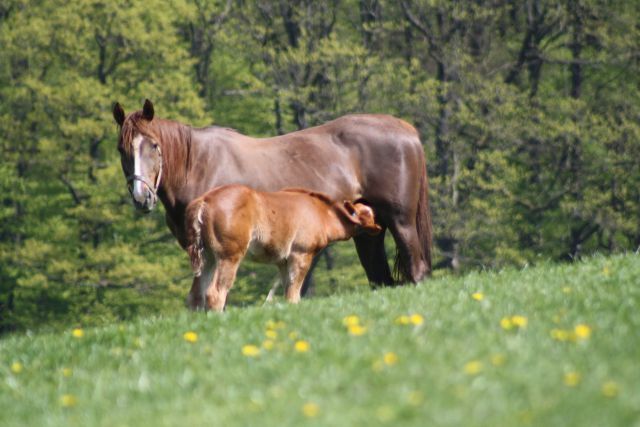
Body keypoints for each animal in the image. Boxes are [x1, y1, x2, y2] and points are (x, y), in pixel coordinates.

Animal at [182, 184, 380, 310]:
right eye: (369, 214)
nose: (379, 227)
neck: (322, 214)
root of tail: (204, 200)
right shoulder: (301, 255)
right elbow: (294, 295)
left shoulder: (282, 262)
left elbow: (288, 292)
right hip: (229, 256)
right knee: (215, 293)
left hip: (207, 257)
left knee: (195, 295)